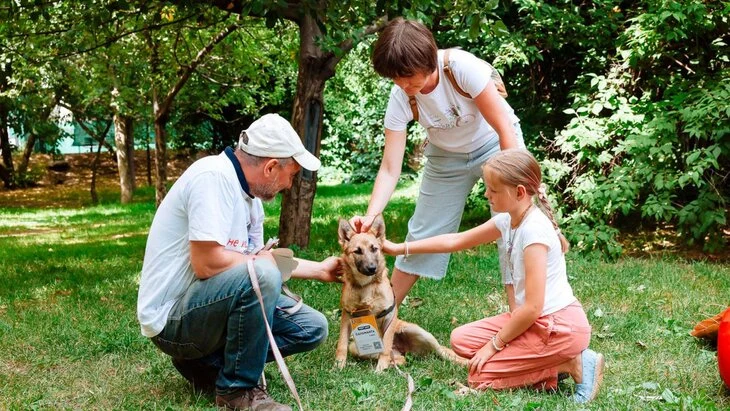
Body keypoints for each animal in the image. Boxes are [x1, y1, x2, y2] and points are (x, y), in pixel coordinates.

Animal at [332, 217, 464, 372]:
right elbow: (341, 345)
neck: (366, 286)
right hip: (356, 348)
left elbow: (385, 347)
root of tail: (401, 349)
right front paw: (338, 366)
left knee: (442, 351)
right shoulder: (347, 316)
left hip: (420, 333)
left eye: (374, 249)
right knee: (401, 359)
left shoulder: (389, 317)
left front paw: (380, 369)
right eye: (357, 251)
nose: (372, 268)